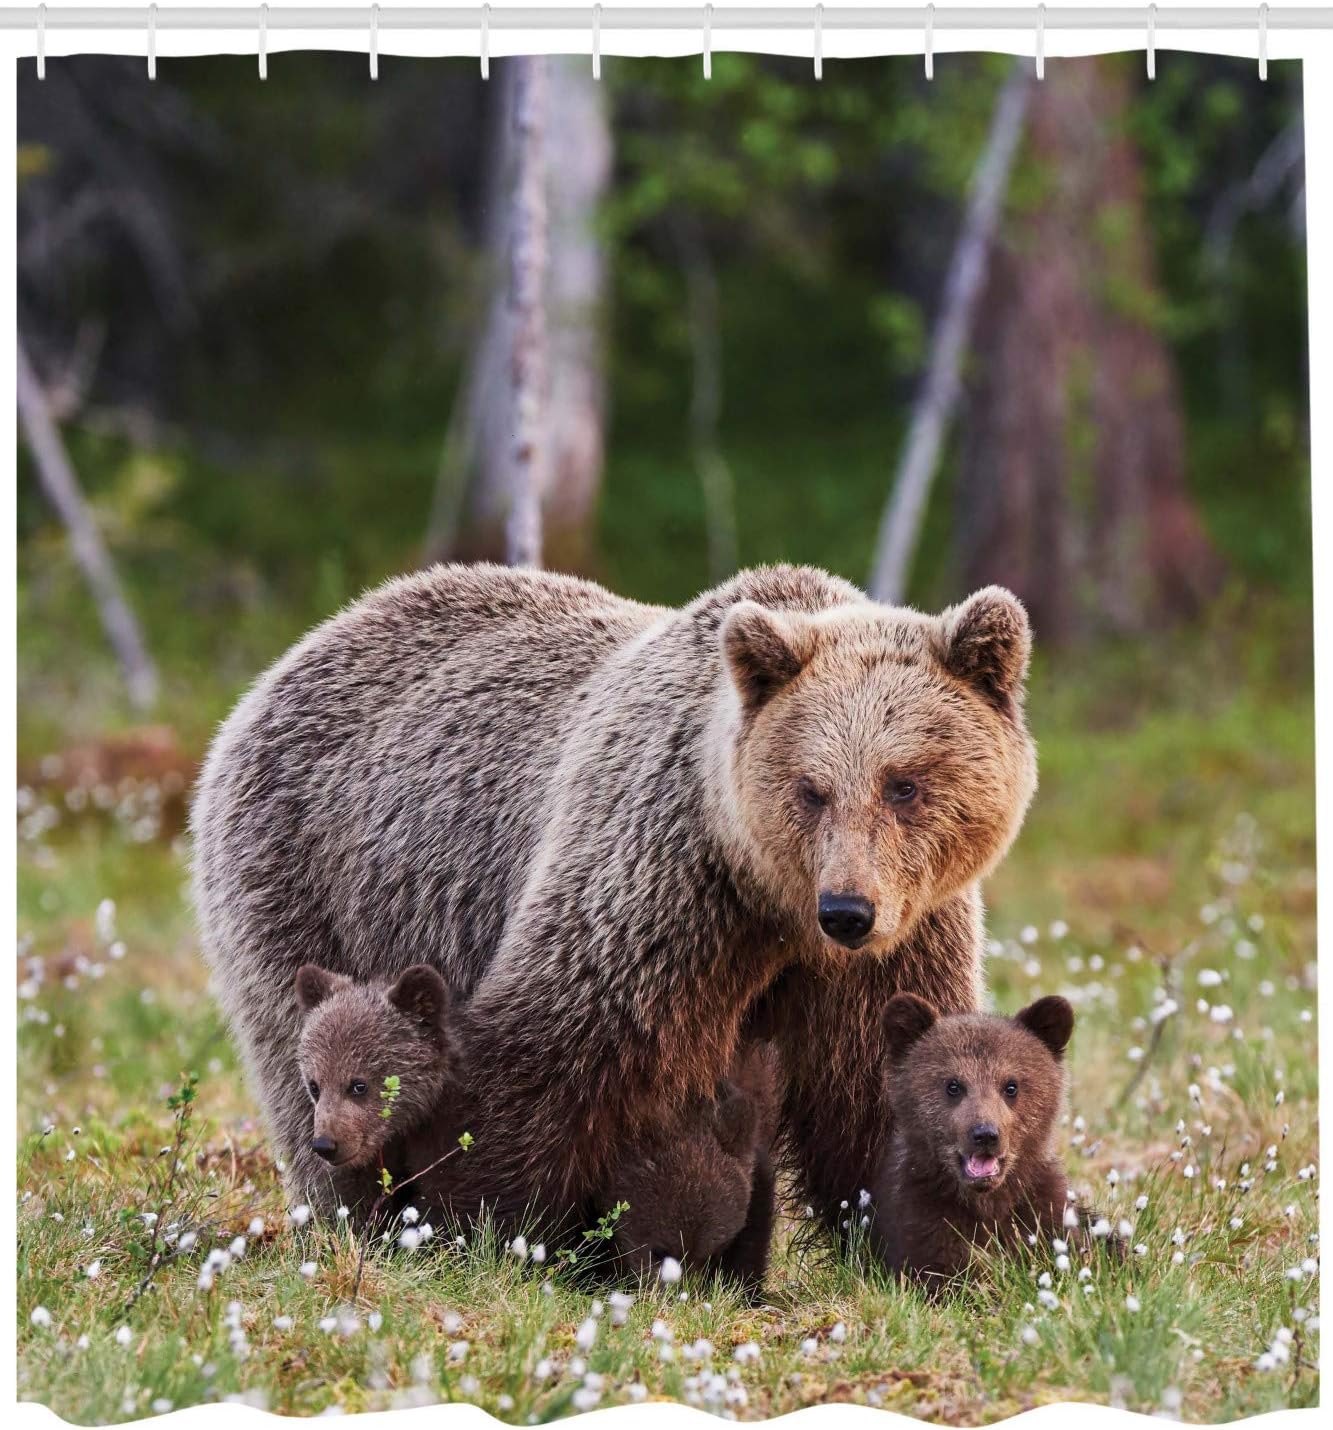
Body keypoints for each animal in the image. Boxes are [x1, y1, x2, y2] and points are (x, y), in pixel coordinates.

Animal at [190, 562, 1036, 1242]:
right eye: (810, 789)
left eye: (904, 784)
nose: (848, 911)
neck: (770, 905)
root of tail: (300, 648)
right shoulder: (657, 882)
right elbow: (552, 1051)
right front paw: (486, 1225)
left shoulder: (897, 941)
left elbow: (880, 1079)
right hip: (311, 878)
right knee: (313, 1050)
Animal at [869, 992, 1074, 1288]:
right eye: (953, 1085)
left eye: (1011, 1086)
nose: (985, 1134)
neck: (987, 1203)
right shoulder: (921, 1218)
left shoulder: (1044, 1210)